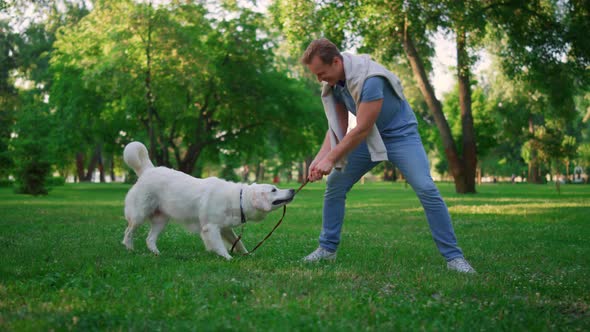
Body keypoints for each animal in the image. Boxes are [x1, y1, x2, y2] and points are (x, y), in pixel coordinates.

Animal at [121, 141, 296, 260]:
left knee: (149, 239)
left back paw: (157, 253)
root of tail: (148, 170)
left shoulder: (225, 229)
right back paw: (129, 249)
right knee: (129, 231)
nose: (293, 190)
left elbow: (238, 243)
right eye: (274, 190)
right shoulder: (211, 228)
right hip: (139, 215)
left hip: (161, 220)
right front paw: (228, 258)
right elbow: (219, 246)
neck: (239, 199)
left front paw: (247, 255)